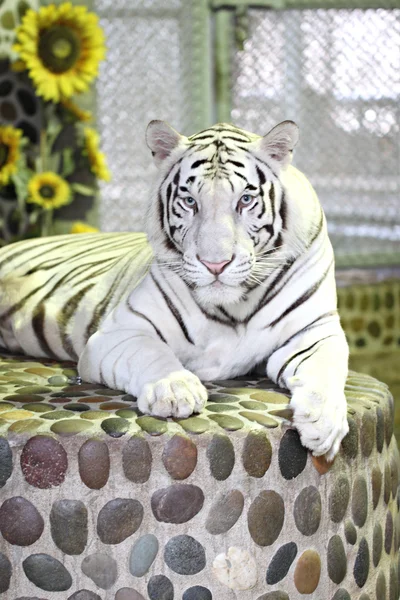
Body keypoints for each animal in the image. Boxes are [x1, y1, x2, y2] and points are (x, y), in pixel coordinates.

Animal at [0, 120, 348, 460]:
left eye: (245, 200)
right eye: (190, 201)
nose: (215, 264)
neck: (233, 308)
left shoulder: (315, 330)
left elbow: (328, 365)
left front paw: (323, 422)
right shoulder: (120, 332)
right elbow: (151, 352)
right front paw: (173, 389)